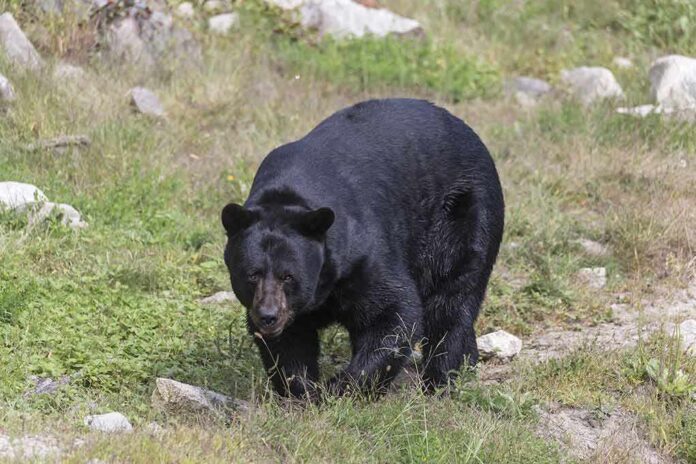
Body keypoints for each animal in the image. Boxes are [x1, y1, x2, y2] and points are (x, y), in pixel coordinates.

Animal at [222, 98, 504, 398]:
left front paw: (341, 388)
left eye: (288, 276)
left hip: (462, 215)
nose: (268, 317)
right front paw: (303, 390)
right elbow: (290, 342)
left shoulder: (363, 253)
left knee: (451, 299)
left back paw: (441, 379)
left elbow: (394, 311)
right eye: (252, 274)